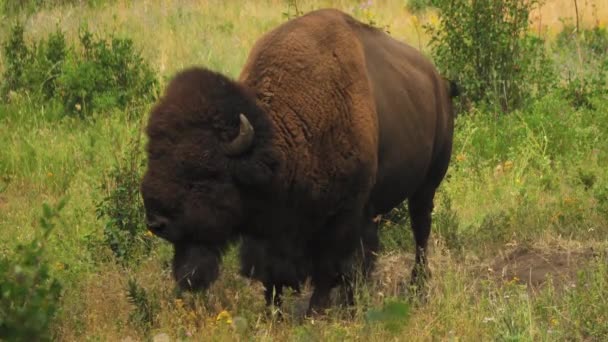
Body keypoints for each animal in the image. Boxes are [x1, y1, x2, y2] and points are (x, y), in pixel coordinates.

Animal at [140, 8, 458, 316]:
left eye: (204, 173)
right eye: (153, 156)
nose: (157, 222)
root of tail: (439, 82)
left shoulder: (343, 215)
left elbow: (330, 267)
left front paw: (315, 312)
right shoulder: (273, 227)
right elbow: (273, 274)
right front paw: (274, 313)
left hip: (427, 185)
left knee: (420, 232)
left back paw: (416, 287)